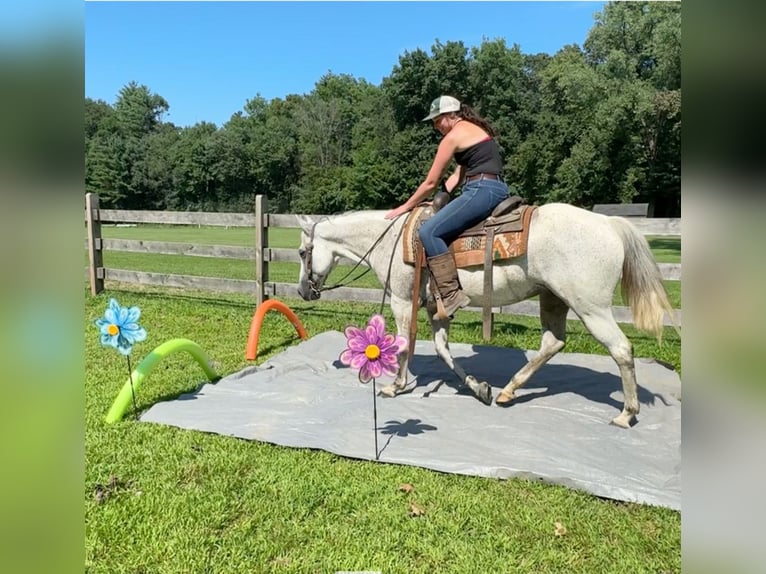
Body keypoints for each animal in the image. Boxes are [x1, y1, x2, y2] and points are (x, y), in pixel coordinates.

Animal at [296, 205, 680, 430]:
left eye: (302, 252)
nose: (303, 291)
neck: (390, 239)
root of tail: (610, 223)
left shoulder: (403, 301)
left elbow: (405, 344)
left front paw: (395, 386)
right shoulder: (437, 309)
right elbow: (442, 350)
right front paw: (478, 387)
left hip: (591, 308)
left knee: (621, 350)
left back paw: (626, 413)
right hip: (553, 300)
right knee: (553, 342)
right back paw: (508, 391)